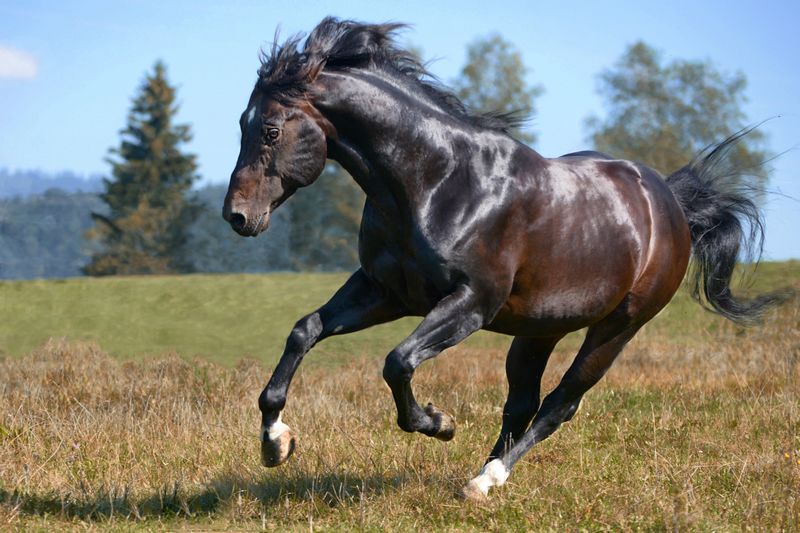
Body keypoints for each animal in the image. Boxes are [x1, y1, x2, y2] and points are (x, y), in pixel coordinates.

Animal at [220, 16, 780, 498]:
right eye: (242, 124)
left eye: (270, 130)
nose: (237, 216)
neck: (437, 182)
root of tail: (670, 203)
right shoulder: (384, 291)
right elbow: (305, 331)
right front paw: (276, 443)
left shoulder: (470, 303)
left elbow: (398, 362)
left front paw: (438, 423)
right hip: (540, 328)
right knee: (522, 403)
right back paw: (482, 472)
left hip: (617, 327)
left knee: (560, 404)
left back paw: (486, 482)